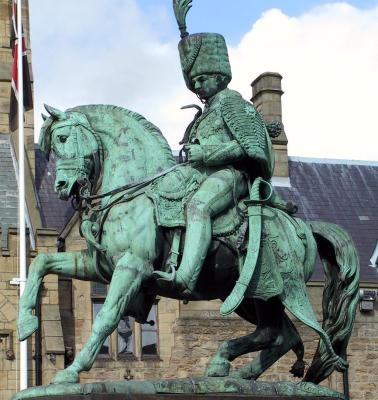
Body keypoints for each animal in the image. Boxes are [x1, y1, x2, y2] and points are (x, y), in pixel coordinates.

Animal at [17, 103, 358, 384]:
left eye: (62, 138)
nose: (62, 186)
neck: (132, 194)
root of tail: (303, 226)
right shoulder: (99, 267)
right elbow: (41, 263)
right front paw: (26, 322)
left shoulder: (132, 266)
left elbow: (107, 316)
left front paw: (72, 370)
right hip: (250, 296)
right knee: (280, 334)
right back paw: (235, 371)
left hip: (268, 288)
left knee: (280, 333)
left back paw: (228, 365)